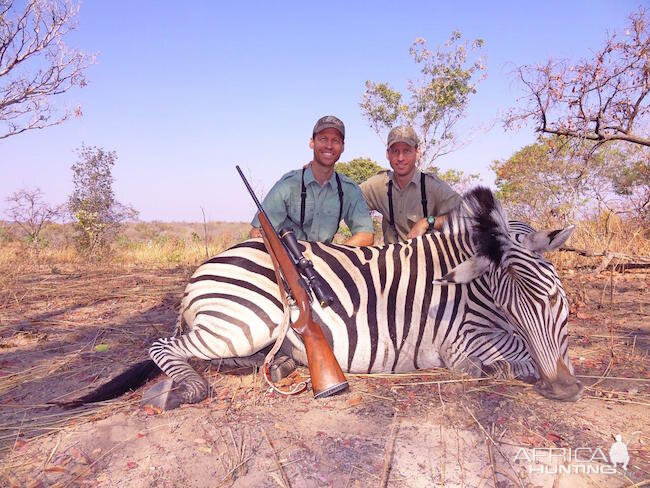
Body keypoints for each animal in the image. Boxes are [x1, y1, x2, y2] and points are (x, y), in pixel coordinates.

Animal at [67, 189, 584, 410]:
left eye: (555, 299)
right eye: (512, 305)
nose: (564, 390)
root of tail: (205, 269)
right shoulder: (460, 341)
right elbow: (512, 356)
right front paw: (501, 369)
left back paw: (278, 366)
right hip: (247, 322)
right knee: (163, 347)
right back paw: (190, 389)